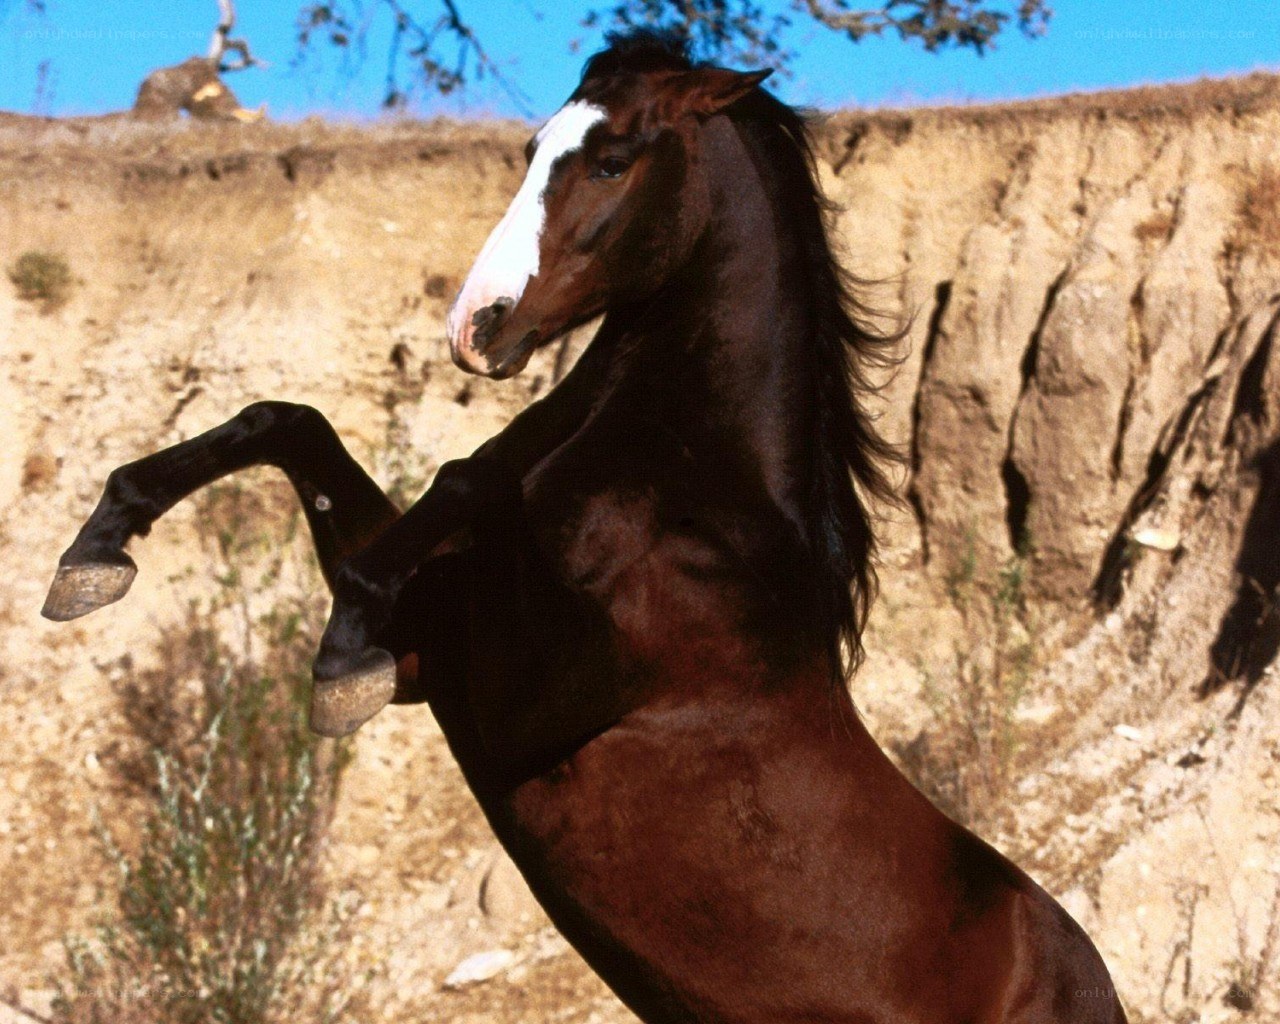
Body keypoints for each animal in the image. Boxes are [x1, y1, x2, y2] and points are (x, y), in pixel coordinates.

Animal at [43, 31, 1127, 1024]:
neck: (701, 511)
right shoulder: (428, 656)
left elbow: (466, 478)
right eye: (533, 148)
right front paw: (96, 552)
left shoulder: (529, 690)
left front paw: (334, 658)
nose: (476, 327)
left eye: (612, 160)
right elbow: (289, 423)